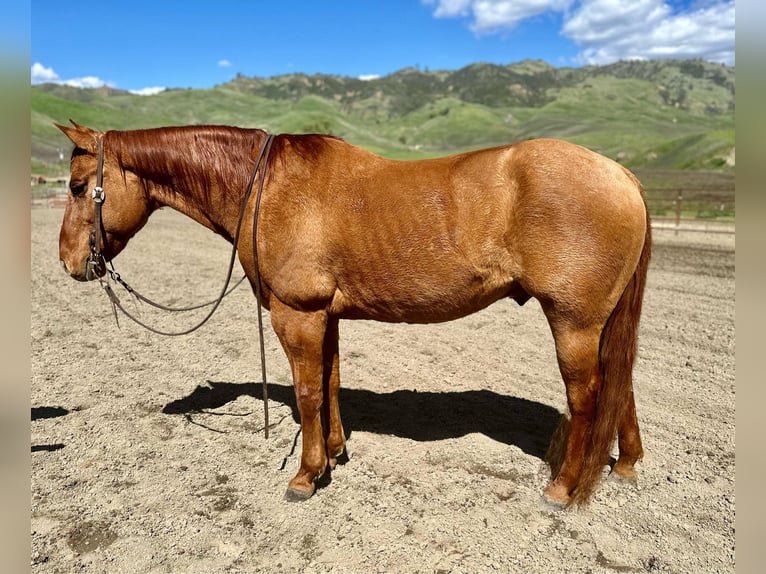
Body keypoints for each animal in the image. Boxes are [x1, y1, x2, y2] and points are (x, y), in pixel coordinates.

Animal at [57, 121, 652, 508]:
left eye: (78, 186)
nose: (68, 262)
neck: (268, 187)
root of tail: (623, 176)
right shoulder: (327, 315)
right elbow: (331, 381)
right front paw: (336, 455)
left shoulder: (296, 314)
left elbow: (308, 393)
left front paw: (305, 476)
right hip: (600, 322)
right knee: (621, 384)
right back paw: (624, 465)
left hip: (573, 322)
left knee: (588, 396)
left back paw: (562, 490)